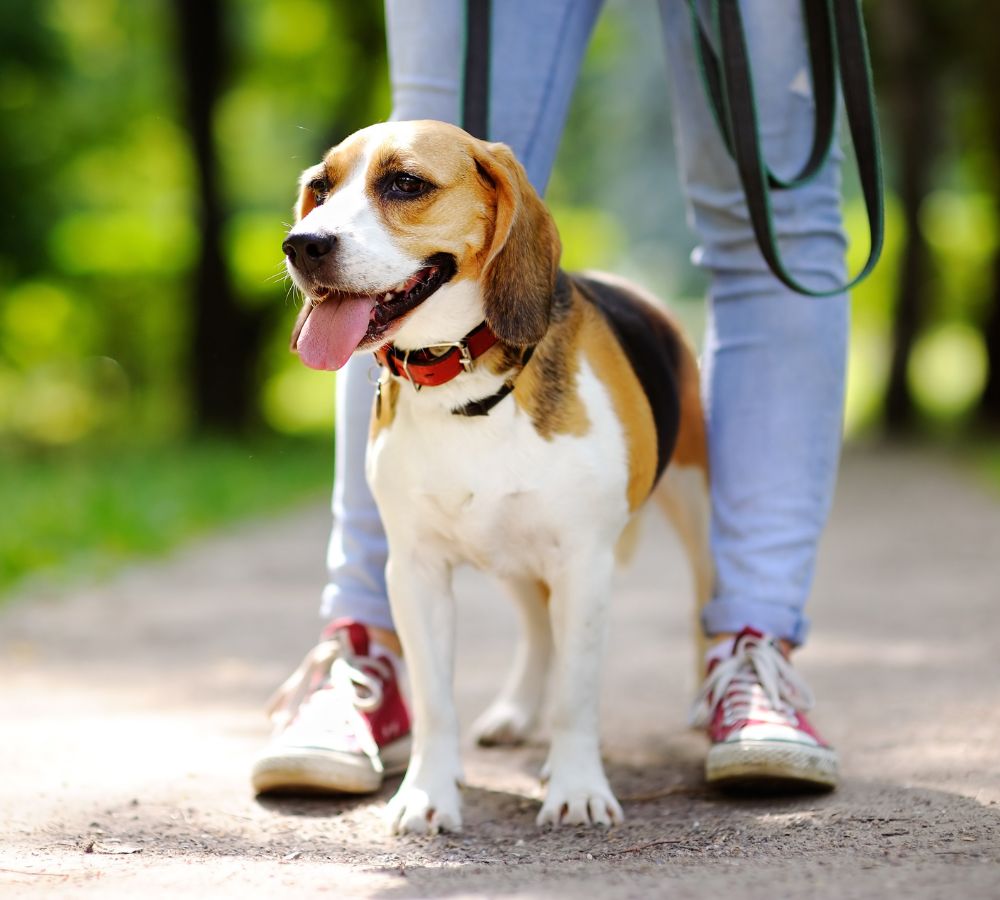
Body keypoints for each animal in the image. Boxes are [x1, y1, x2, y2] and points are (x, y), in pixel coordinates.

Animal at [286, 119, 716, 836]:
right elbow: (436, 700)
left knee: (703, 602)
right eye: (320, 187)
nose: (302, 245)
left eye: (405, 184)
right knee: (538, 629)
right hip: (511, 554)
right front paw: (428, 793)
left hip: (697, 504)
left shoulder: (584, 563)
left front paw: (576, 788)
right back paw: (516, 714)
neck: (462, 378)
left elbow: (577, 694)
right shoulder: (416, 571)